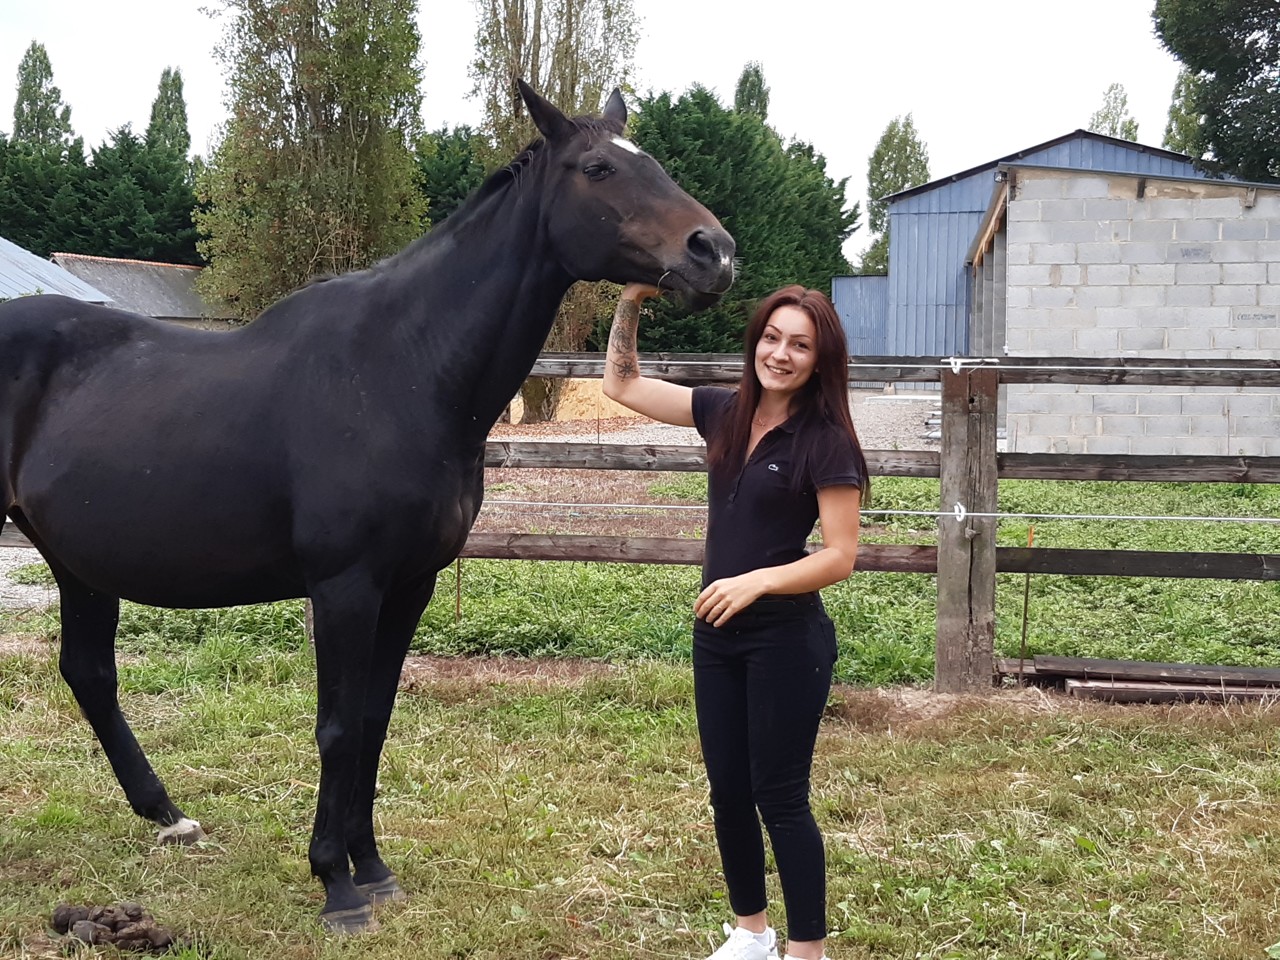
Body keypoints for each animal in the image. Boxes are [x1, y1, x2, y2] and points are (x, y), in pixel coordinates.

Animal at [0, 79, 737, 936]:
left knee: (88, 672)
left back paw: (169, 815)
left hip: (76, 559)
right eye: (597, 168)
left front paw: (373, 867)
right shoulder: (345, 587)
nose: (713, 253)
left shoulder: (410, 584)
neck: (403, 369)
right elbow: (339, 726)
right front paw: (336, 884)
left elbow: (377, 722)